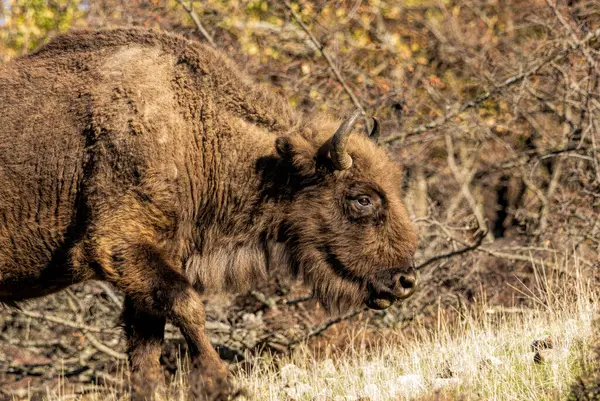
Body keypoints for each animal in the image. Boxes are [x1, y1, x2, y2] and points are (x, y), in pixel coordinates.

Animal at [0, 28, 420, 396]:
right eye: (362, 198)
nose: (406, 281)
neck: (192, 127)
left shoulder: (153, 262)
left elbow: (146, 347)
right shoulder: (117, 245)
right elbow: (187, 306)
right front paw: (225, 385)